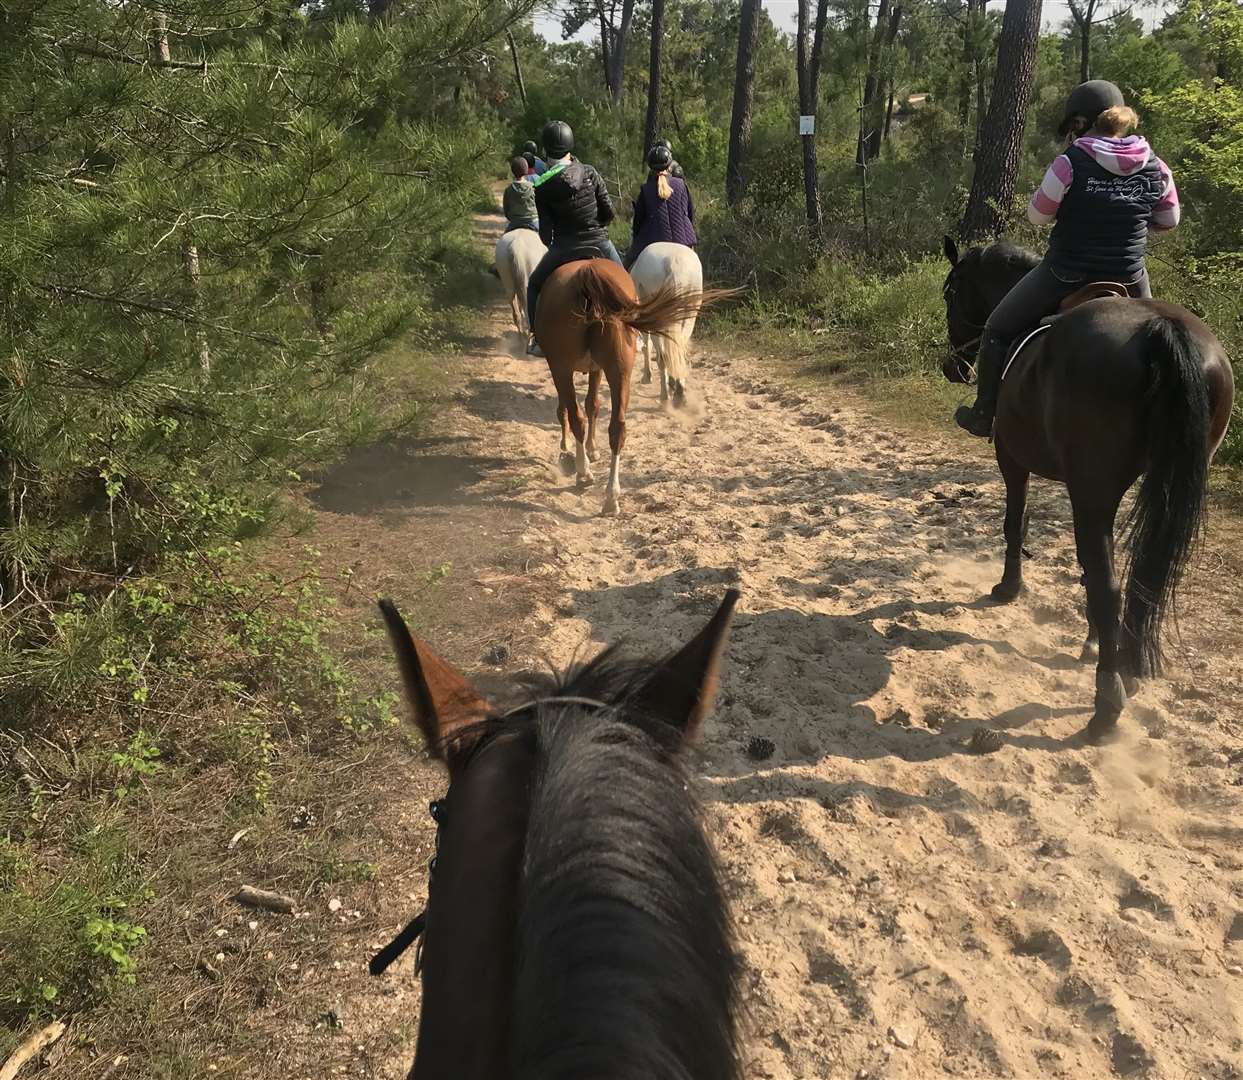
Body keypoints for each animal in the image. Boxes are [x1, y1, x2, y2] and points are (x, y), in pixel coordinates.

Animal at [532, 259, 710, 517]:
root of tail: (587, 273)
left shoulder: (563, 367)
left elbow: (574, 408)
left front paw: (570, 450)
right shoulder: (596, 368)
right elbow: (593, 405)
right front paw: (592, 448)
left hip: (562, 367)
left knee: (576, 418)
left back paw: (583, 473)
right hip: (620, 369)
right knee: (617, 428)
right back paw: (610, 498)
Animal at [626, 242, 706, 407]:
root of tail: (675, 265)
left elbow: (647, 344)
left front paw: (647, 376)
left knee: (662, 356)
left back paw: (665, 395)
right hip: (690, 315)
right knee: (678, 349)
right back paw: (679, 393)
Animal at [939, 237, 1233, 740]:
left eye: (951, 293)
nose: (952, 367)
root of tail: (1161, 330)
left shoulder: (1012, 458)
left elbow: (1015, 523)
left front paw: (1009, 588)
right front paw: (1093, 640)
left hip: (1092, 487)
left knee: (1109, 583)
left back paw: (1106, 703)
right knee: (1144, 573)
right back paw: (1130, 668)